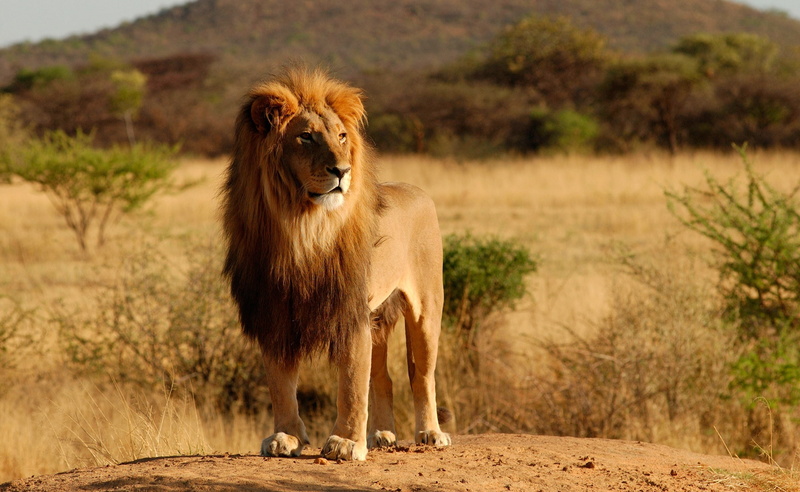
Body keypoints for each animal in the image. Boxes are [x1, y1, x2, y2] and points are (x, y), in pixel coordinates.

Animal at [221, 67, 451, 461]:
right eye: (306, 137)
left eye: (342, 136)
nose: (342, 170)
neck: (302, 227)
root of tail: (417, 190)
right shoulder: (274, 312)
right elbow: (280, 384)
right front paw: (286, 437)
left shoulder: (349, 310)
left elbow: (352, 383)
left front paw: (346, 442)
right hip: (378, 317)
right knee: (384, 377)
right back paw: (382, 435)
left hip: (426, 308)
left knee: (421, 375)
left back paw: (430, 433)